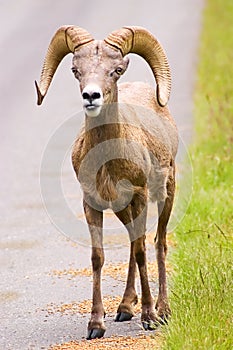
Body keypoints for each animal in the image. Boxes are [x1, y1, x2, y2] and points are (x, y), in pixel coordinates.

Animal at [36, 24, 178, 340]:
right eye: (76, 70)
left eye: (116, 70)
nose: (91, 95)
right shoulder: (92, 204)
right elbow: (98, 257)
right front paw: (95, 325)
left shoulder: (139, 196)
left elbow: (142, 251)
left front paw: (149, 317)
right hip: (122, 208)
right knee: (133, 243)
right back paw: (125, 308)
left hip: (166, 193)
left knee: (157, 243)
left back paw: (163, 310)